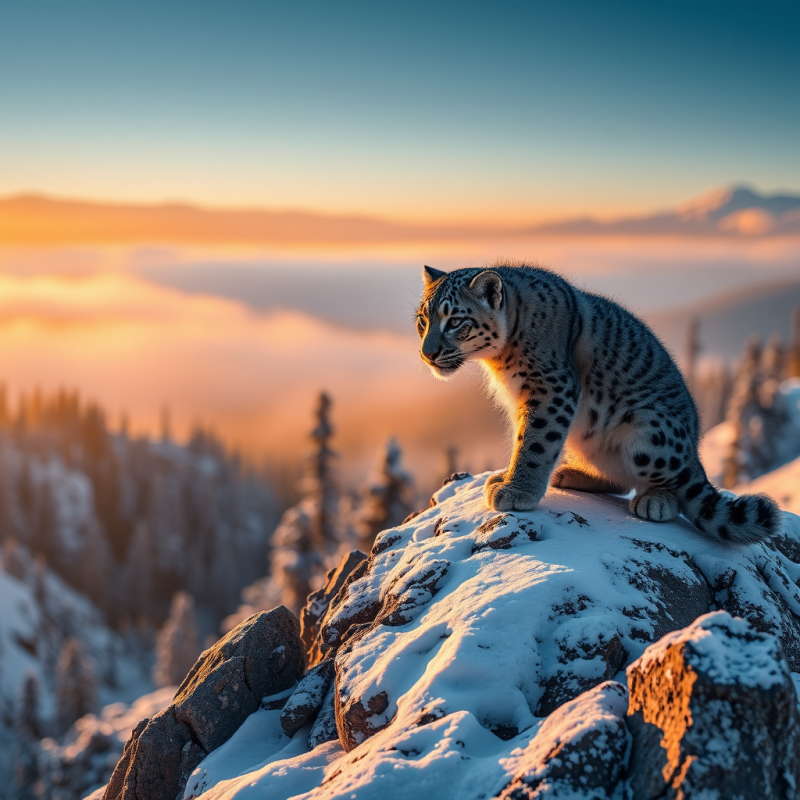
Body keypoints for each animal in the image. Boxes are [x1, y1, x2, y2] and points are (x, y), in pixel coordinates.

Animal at [416, 262, 781, 544]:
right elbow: (521, 438)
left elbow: (536, 443)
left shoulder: (550, 390)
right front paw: (504, 477)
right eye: (423, 320)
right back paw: (569, 474)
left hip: (649, 431)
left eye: (455, 321)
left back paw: (655, 502)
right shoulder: (522, 402)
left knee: (674, 483)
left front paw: (517, 491)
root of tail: (694, 449)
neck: (500, 361)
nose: (427, 353)